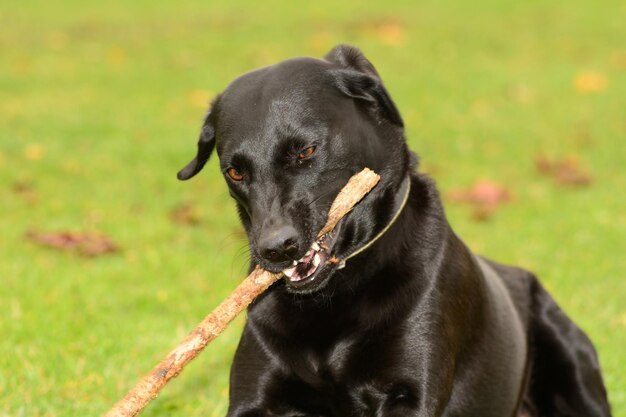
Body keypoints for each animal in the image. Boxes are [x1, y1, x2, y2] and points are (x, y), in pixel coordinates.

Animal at [177, 44, 608, 416]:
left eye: (305, 151)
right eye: (235, 172)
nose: (276, 249)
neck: (333, 298)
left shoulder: (408, 393)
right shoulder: (255, 397)